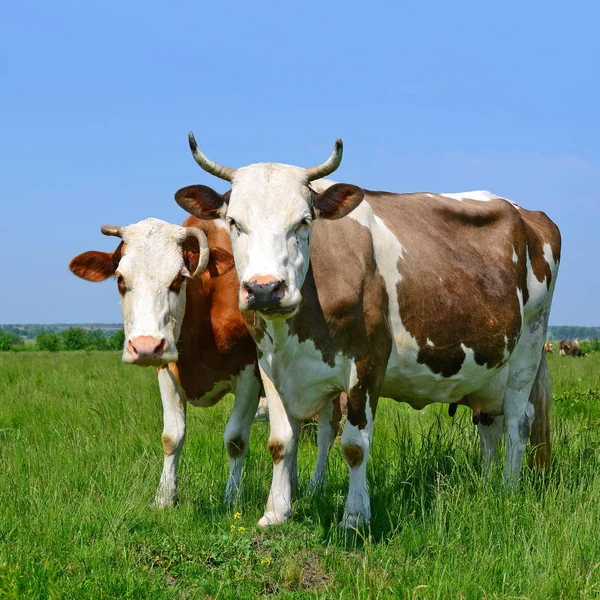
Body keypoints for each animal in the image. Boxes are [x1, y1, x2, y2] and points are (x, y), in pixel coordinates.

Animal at [68, 217, 262, 506]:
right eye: (120, 278)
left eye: (179, 278)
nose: (145, 346)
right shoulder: (167, 369)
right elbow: (171, 437)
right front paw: (164, 498)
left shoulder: (250, 373)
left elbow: (235, 439)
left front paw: (232, 499)